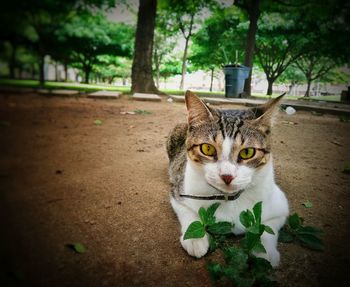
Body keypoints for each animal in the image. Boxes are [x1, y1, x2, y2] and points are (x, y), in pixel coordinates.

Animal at [167, 91, 290, 268]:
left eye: (247, 152)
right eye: (207, 148)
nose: (227, 176)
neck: (229, 199)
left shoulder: (280, 205)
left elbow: (268, 228)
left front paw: (265, 253)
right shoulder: (178, 190)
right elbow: (187, 211)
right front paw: (195, 240)